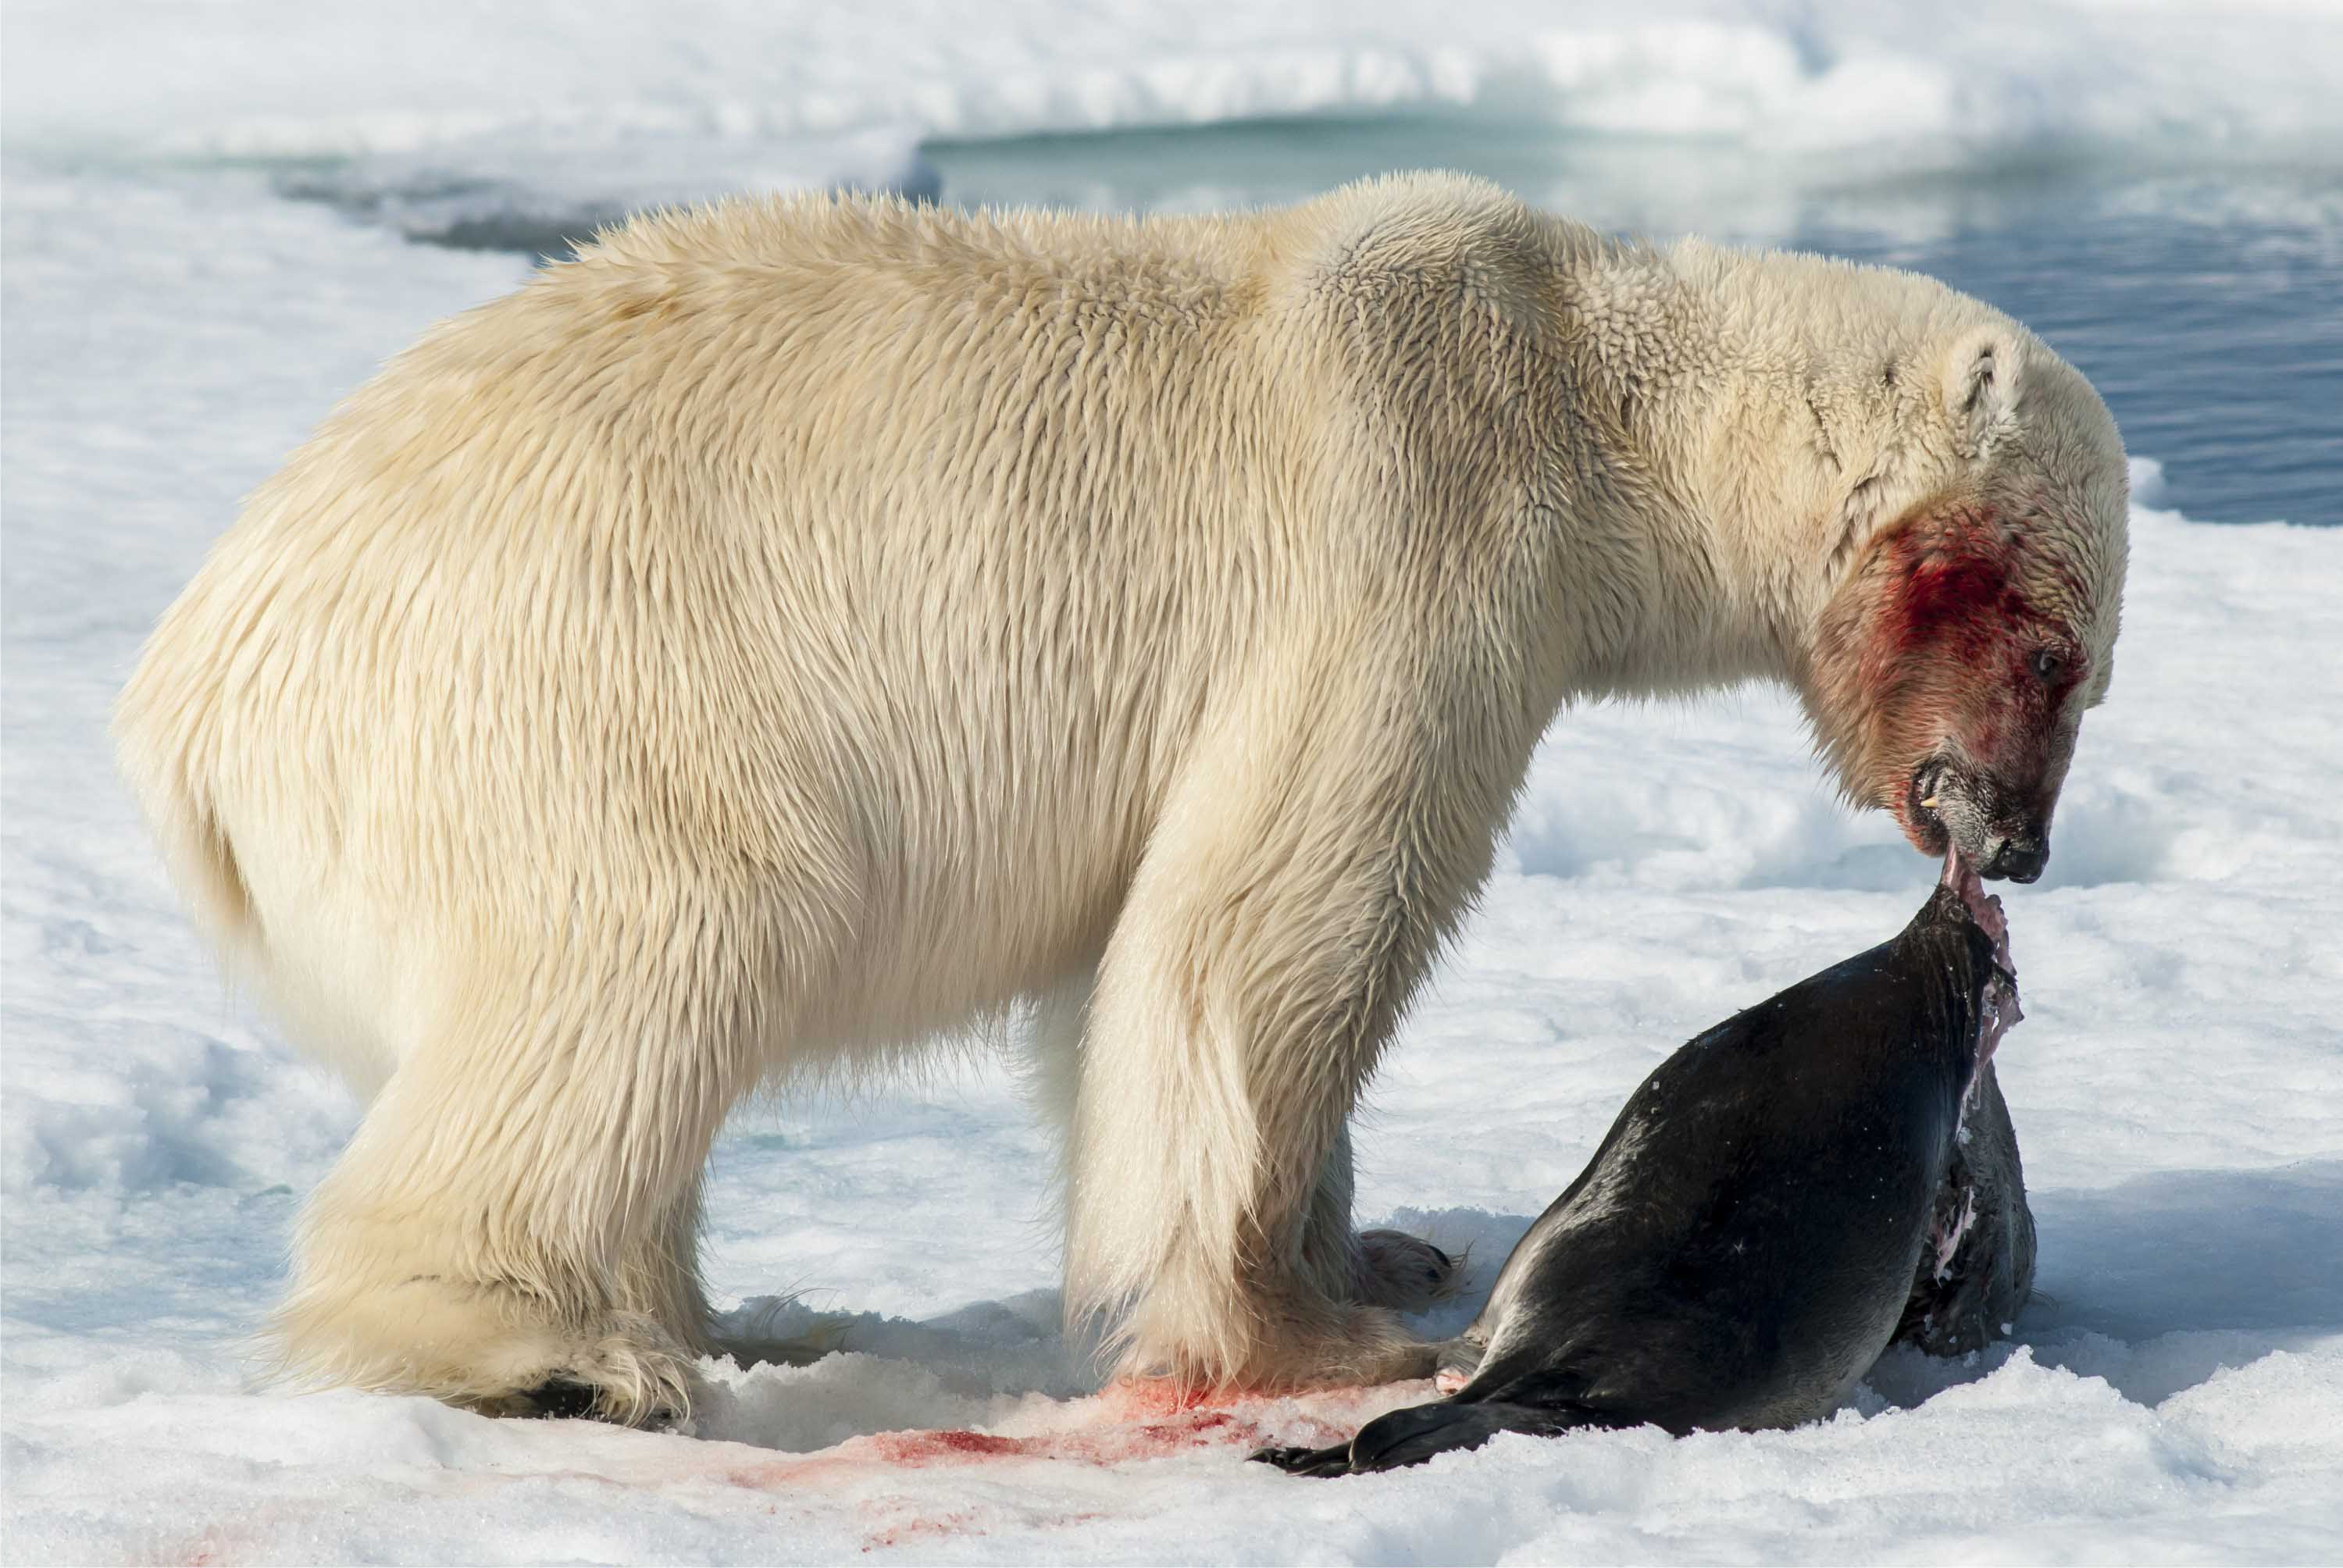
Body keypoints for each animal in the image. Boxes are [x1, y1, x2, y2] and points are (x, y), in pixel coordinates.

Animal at [113, 173, 2128, 1425]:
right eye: (2050, 645)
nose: (2018, 843)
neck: (1581, 382)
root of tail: (190, 700)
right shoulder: (1409, 516)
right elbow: (1261, 922)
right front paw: (1316, 1330)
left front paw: (1378, 1241)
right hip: (564, 696)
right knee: (660, 947)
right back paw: (559, 1355)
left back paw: (735, 1312)